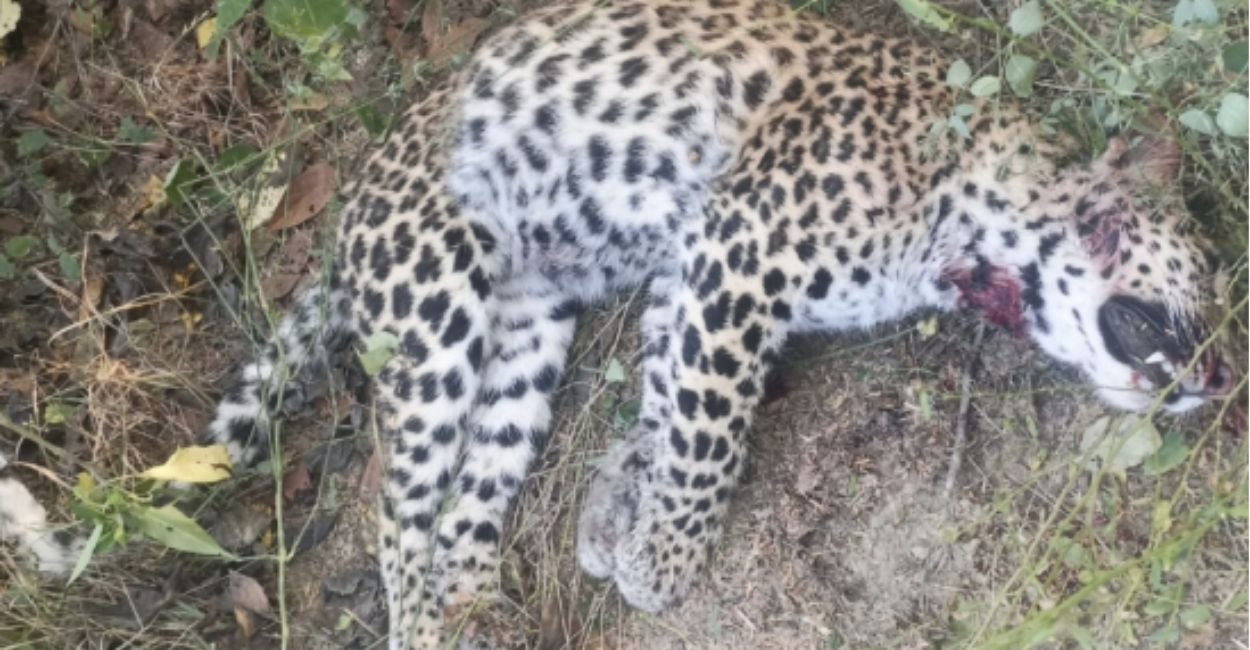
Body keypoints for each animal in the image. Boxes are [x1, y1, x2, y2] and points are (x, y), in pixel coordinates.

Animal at [2, 1, 1233, 648]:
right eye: (1209, 295)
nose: (1222, 382)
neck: (979, 222)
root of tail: (351, 206)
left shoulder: (689, 277)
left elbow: (665, 404)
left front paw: (617, 524)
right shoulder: (740, 249)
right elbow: (710, 430)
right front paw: (664, 561)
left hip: (527, 338)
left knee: (467, 503)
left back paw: (482, 607)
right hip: (436, 311)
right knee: (401, 513)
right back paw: (427, 623)